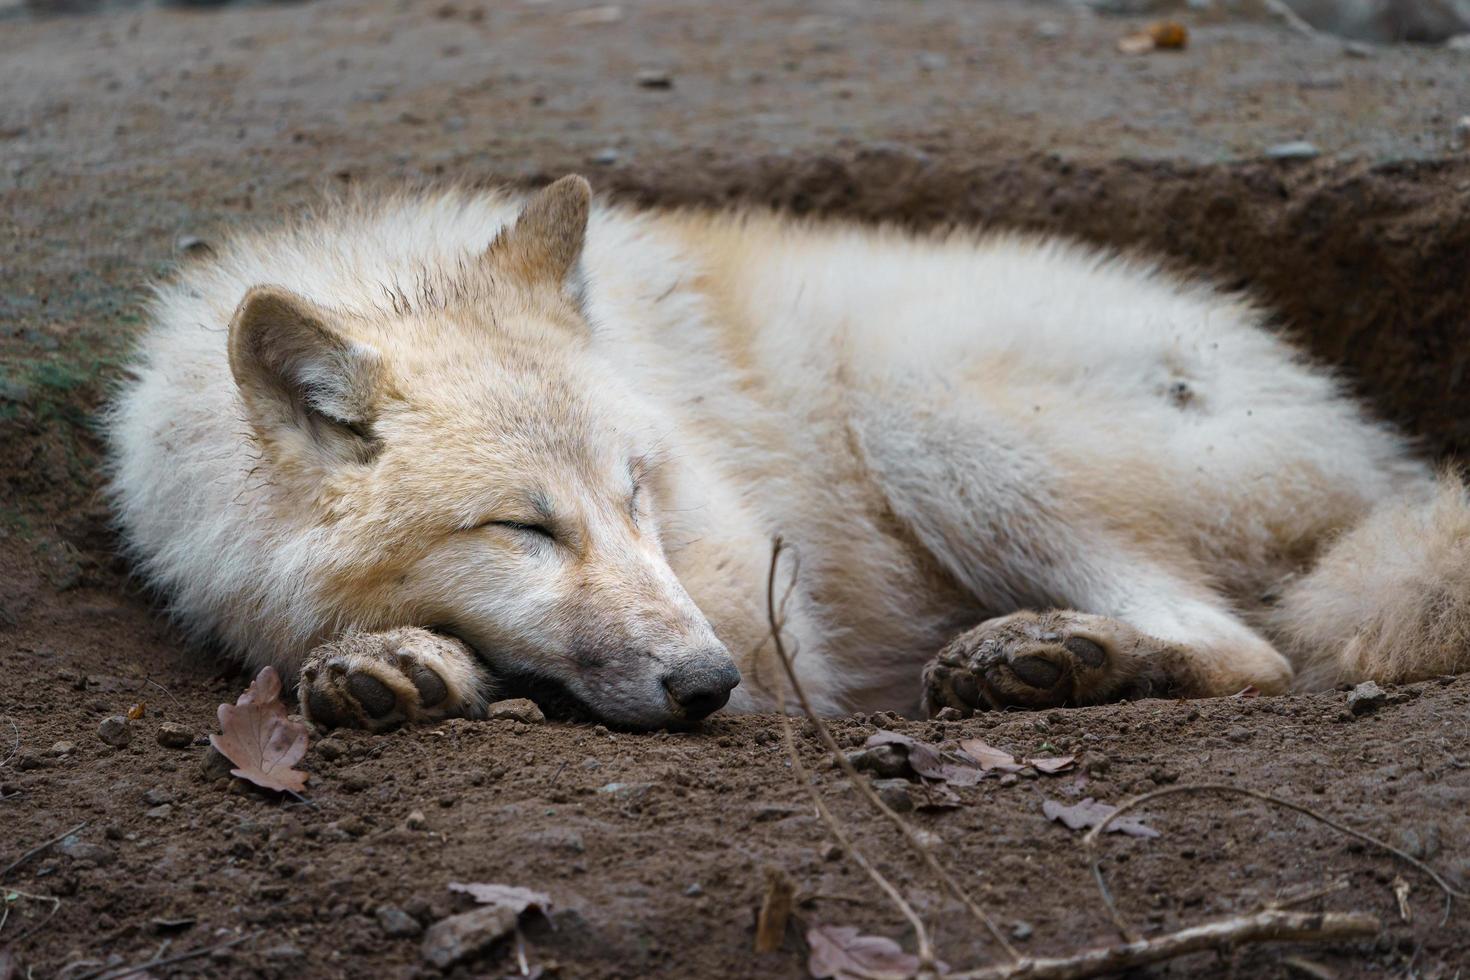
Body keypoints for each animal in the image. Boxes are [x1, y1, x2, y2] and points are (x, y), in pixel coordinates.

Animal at [108, 176, 1470, 731]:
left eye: (638, 495)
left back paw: (1052, 658)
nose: (704, 683)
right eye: (523, 527)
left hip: (930, 407)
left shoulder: (761, 618)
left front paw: (422, 666)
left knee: (1251, 651)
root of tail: (1376, 452)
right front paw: (395, 658)